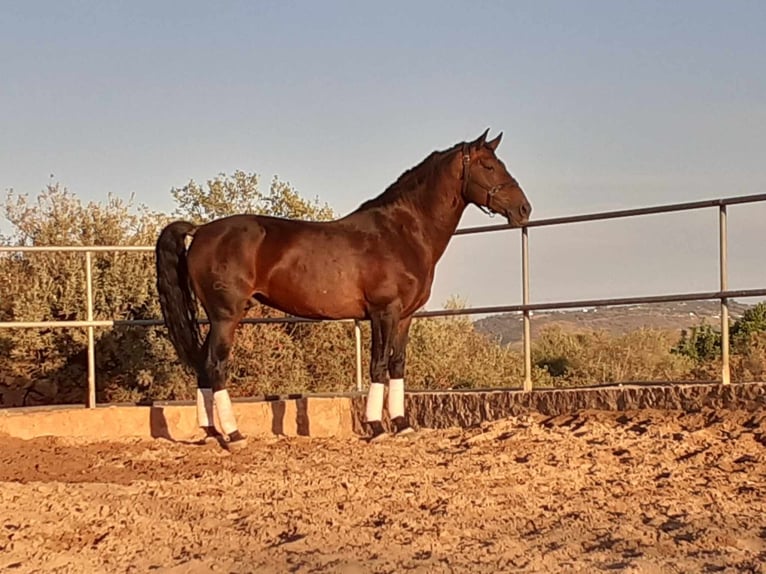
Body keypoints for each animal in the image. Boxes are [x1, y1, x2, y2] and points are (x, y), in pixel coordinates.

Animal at [153, 130, 532, 450]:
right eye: (488, 166)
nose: (524, 209)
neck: (402, 232)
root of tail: (201, 231)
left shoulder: (405, 317)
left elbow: (397, 365)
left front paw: (402, 425)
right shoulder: (383, 312)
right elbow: (378, 365)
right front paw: (377, 428)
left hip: (218, 318)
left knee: (203, 365)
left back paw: (210, 432)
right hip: (226, 316)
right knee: (216, 366)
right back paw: (234, 435)